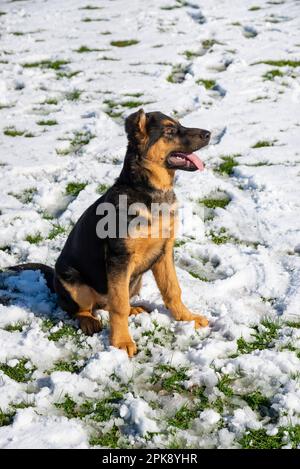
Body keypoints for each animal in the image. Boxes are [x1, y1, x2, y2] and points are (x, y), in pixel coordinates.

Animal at [5, 109, 211, 354]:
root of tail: (54, 276)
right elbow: (118, 305)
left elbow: (172, 290)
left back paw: (134, 309)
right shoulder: (118, 258)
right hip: (74, 282)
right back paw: (89, 321)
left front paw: (187, 318)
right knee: (83, 308)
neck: (147, 190)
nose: (209, 134)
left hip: (133, 281)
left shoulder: (164, 252)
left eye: (180, 125)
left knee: (110, 303)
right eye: (170, 131)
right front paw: (121, 342)